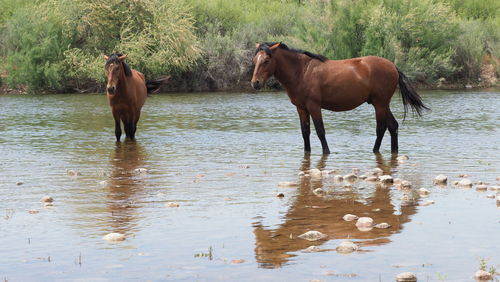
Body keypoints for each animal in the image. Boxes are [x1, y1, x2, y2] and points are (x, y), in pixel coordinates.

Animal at [252, 42, 428, 154]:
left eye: (266, 60)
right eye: (255, 60)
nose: (255, 83)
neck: (302, 71)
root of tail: (393, 66)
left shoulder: (314, 106)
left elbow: (320, 131)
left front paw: (326, 152)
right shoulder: (301, 108)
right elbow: (305, 132)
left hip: (380, 104)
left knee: (381, 128)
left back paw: (374, 150)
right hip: (382, 104)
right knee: (393, 126)